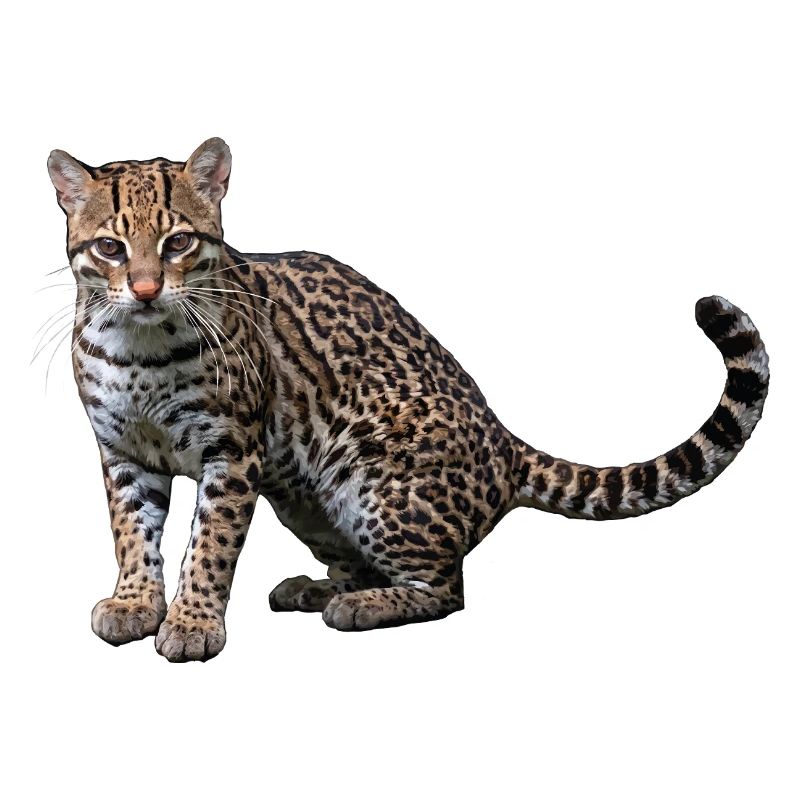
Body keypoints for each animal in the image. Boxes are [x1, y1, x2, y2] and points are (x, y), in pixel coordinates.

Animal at [45, 138, 770, 661]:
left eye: (178, 243)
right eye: (110, 248)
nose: (144, 289)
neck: (139, 347)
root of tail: (506, 443)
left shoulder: (233, 450)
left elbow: (210, 545)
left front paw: (193, 621)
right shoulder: (121, 452)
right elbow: (132, 533)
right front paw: (135, 603)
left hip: (370, 484)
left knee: (447, 588)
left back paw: (360, 607)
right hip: (305, 499)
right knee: (365, 565)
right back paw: (318, 588)